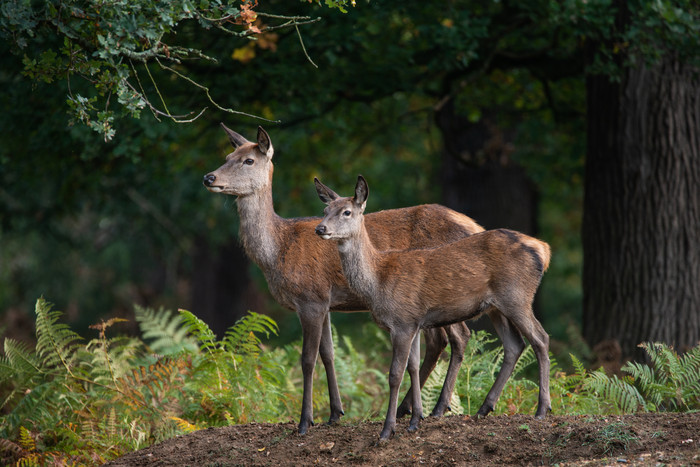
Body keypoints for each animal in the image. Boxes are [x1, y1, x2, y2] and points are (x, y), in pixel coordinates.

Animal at [205, 123, 484, 436]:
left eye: (249, 160)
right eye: (227, 155)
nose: (209, 177)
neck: (278, 252)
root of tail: (475, 226)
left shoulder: (310, 298)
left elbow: (307, 359)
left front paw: (305, 421)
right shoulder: (324, 303)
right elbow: (328, 353)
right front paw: (335, 413)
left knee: (460, 336)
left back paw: (435, 408)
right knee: (441, 341)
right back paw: (410, 410)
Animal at [316, 176, 552, 442]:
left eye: (346, 212)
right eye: (325, 210)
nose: (320, 229)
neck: (378, 281)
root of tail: (544, 250)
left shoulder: (402, 321)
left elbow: (395, 374)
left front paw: (388, 429)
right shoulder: (414, 322)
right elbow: (413, 366)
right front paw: (414, 421)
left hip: (517, 296)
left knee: (540, 338)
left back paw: (542, 409)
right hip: (496, 306)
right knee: (514, 344)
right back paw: (484, 408)